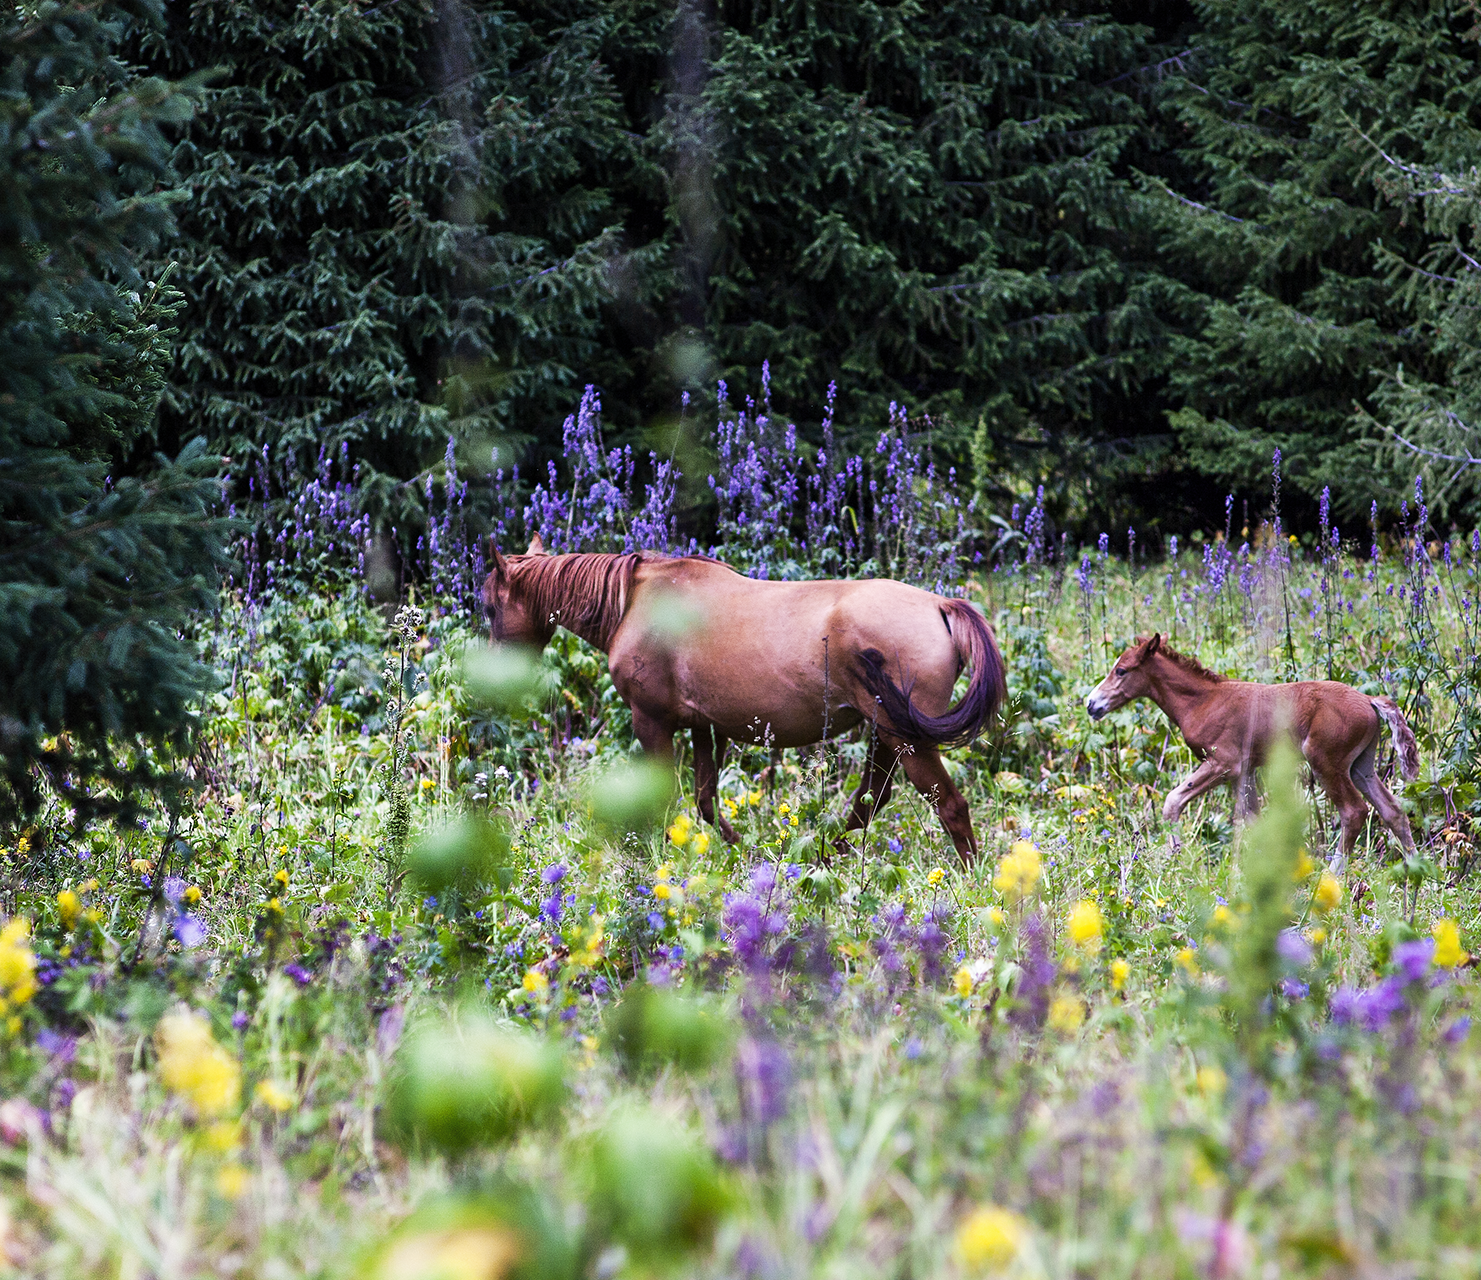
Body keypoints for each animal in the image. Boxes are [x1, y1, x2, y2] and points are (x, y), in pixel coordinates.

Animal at [485, 536, 1007, 865]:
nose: (493, 673)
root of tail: (940, 606)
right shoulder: (704, 727)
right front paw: (741, 850)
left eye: (489, 606)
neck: (634, 602)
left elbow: (666, 802)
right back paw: (823, 856)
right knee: (870, 801)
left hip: (907, 740)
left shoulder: (651, 721)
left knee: (949, 806)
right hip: (888, 736)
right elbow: (705, 800)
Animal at [1090, 631, 1421, 871]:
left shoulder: (1225, 764)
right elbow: (1254, 820)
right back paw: (1419, 869)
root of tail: (1369, 700)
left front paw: (1176, 862)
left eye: (1121, 670)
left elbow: (1173, 801)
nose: (1092, 704)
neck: (1201, 701)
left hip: (1326, 761)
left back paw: (1332, 877)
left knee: (1354, 811)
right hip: (1360, 765)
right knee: (1392, 810)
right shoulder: (1245, 772)